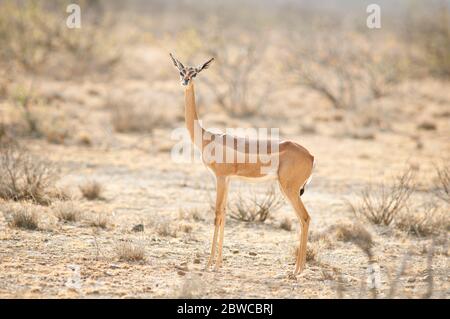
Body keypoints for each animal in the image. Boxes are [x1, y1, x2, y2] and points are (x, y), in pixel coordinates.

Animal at [171, 53, 314, 276]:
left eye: (195, 73)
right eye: (181, 71)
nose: (185, 81)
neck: (207, 138)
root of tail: (310, 156)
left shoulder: (220, 177)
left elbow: (217, 214)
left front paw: (209, 264)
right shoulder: (228, 179)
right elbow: (224, 214)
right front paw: (219, 263)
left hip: (289, 189)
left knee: (305, 218)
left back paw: (296, 271)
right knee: (301, 219)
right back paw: (298, 269)